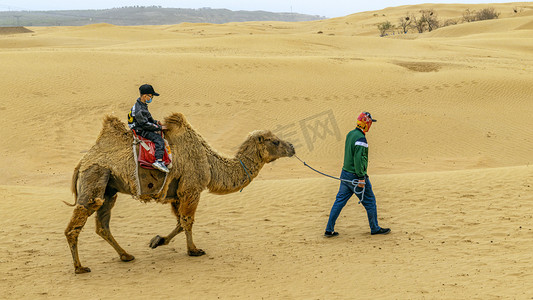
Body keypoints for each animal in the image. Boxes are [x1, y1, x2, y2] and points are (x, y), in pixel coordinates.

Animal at [66, 113, 296, 274]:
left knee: (103, 224)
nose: (292, 147)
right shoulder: (191, 188)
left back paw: (126, 255)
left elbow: (179, 222)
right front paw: (194, 250)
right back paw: (80, 267)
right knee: (79, 220)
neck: (210, 163)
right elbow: (187, 221)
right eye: (275, 141)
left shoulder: (177, 193)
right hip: (95, 175)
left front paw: (157, 241)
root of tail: (82, 161)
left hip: (109, 188)